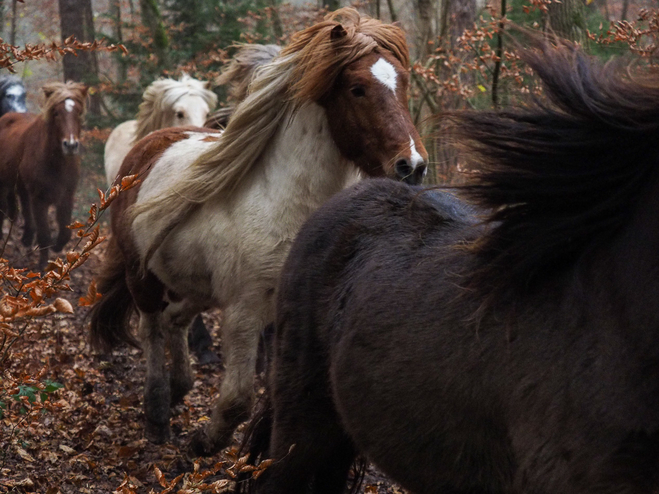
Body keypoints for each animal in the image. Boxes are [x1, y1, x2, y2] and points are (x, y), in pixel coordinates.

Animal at [0, 81, 87, 268]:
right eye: (56, 113)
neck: (56, 163)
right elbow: (44, 235)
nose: (70, 145)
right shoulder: (40, 199)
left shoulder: (66, 196)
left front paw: (56, 246)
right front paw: (42, 268)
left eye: (78, 112)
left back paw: (26, 237)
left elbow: (65, 233)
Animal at [90, 6, 430, 456]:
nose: (412, 166)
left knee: (176, 320)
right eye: (357, 89)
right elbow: (238, 399)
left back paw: (181, 386)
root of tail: (149, 143)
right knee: (153, 330)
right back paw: (158, 412)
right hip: (142, 276)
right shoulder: (244, 311)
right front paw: (202, 443)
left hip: (197, 285)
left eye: (403, 83)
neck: (281, 201)